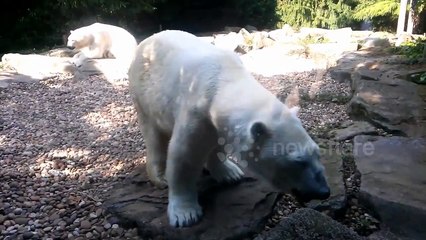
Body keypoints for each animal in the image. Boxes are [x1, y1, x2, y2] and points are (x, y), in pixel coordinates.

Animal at [128, 29, 332, 227]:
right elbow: (184, 156)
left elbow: (218, 144)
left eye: (317, 153)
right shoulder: (195, 110)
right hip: (144, 94)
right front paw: (185, 214)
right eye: (299, 161)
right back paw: (160, 176)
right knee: (153, 135)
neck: (223, 80)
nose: (324, 191)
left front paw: (230, 173)